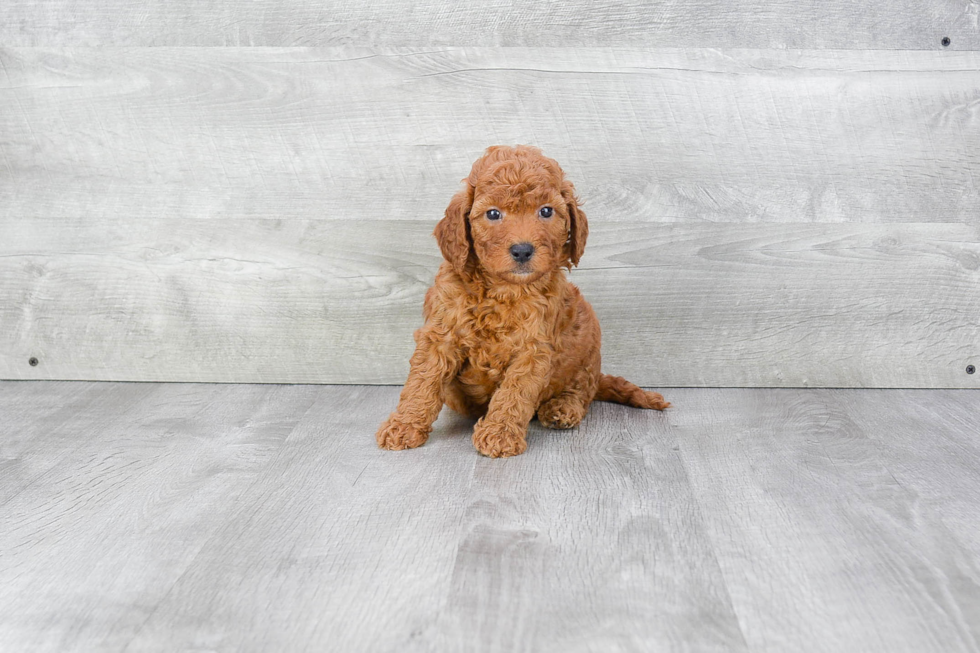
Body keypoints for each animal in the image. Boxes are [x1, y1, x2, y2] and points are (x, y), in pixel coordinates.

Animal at [374, 145, 668, 456]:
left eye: (546, 211)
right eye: (493, 213)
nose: (523, 251)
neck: (503, 289)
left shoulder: (534, 348)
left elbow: (515, 392)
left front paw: (499, 433)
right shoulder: (440, 334)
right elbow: (422, 382)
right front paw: (404, 426)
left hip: (587, 345)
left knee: (582, 389)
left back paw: (562, 407)